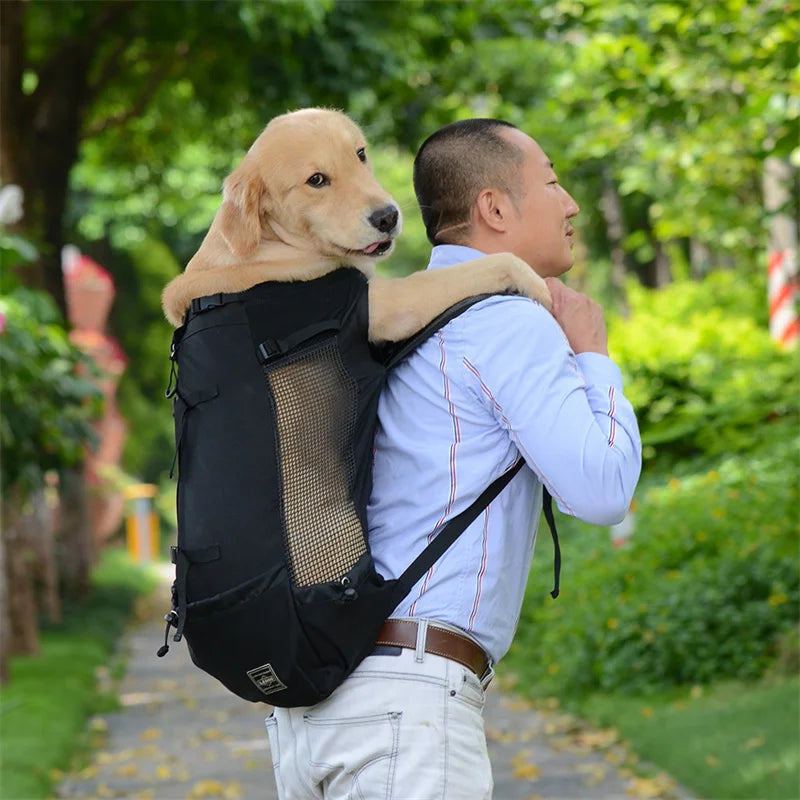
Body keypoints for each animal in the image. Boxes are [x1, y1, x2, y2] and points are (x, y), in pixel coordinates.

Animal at [162, 108, 552, 340]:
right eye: (316, 180)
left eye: (361, 154)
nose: (388, 217)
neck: (277, 242)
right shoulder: (387, 304)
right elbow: (477, 267)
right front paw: (537, 284)